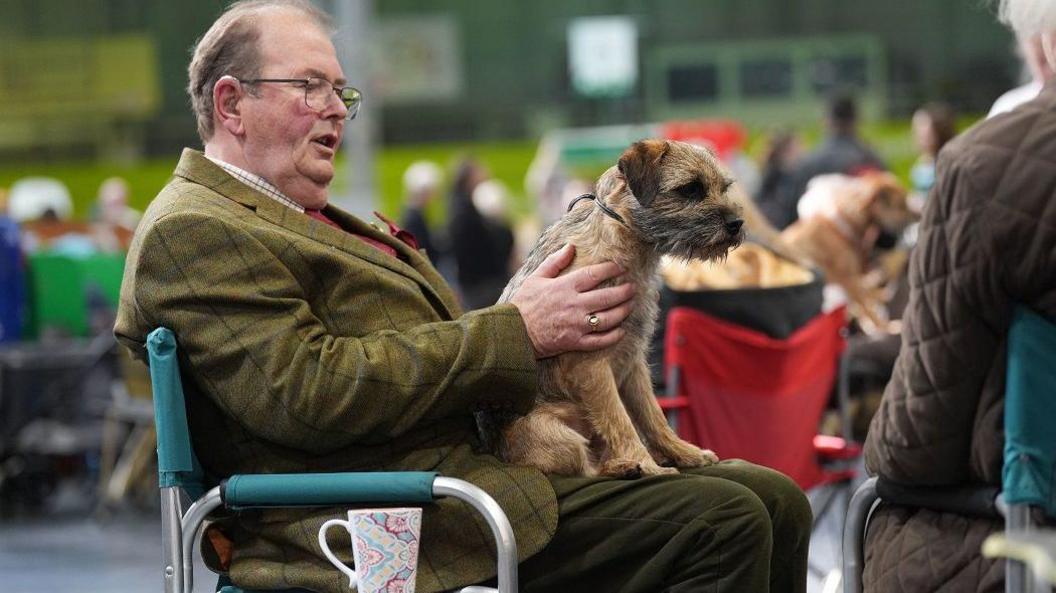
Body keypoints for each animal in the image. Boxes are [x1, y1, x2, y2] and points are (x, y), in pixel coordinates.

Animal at [479, 138, 743, 474]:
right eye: (690, 189)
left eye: (724, 187)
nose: (737, 223)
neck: (626, 242)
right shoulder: (592, 367)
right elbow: (620, 421)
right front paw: (649, 465)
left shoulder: (634, 362)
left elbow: (652, 415)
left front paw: (682, 451)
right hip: (555, 433)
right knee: (586, 468)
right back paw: (626, 466)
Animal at [777, 169, 916, 333]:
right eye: (901, 205)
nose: (920, 213)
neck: (841, 227)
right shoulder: (847, 280)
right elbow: (866, 308)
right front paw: (883, 327)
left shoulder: (851, 278)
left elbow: (865, 300)